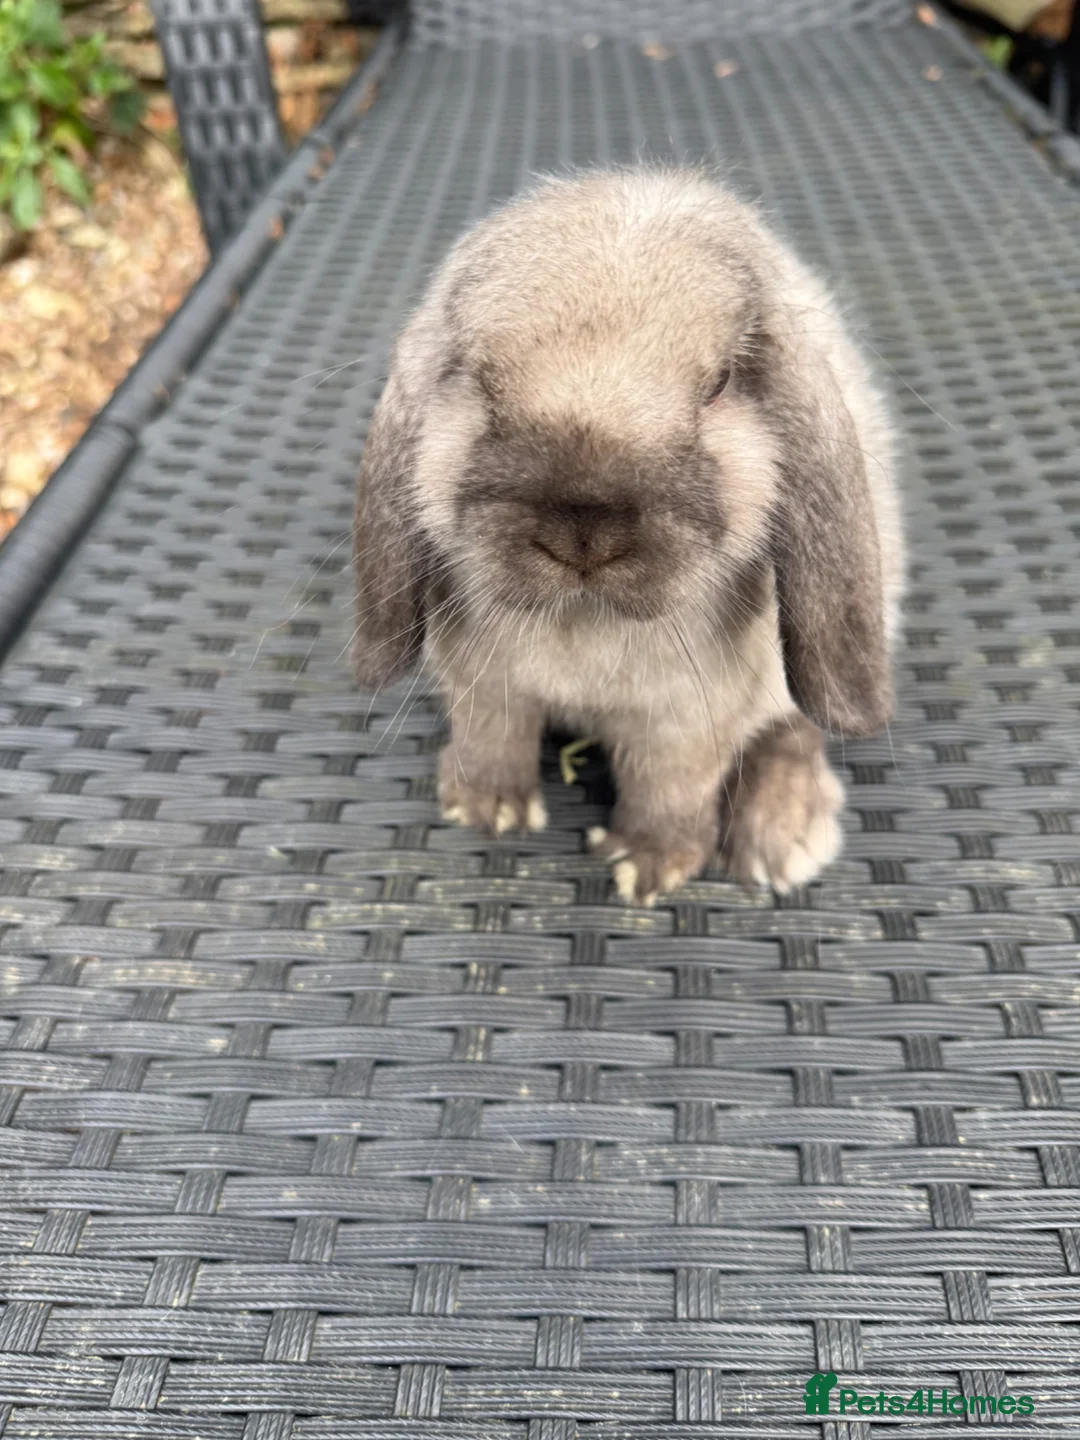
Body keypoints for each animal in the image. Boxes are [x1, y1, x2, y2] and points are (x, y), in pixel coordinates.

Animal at [352, 167, 903, 905]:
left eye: (720, 383)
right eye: (476, 378)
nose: (584, 534)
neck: (583, 623)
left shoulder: (686, 722)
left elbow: (670, 789)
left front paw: (647, 867)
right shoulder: (482, 684)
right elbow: (492, 737)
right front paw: (485, 809)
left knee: (794, 728)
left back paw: (781, 837)